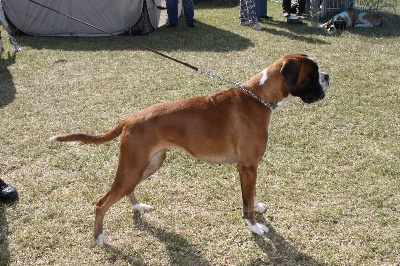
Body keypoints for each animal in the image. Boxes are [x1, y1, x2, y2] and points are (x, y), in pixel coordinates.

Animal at [50, 53, 330, 246]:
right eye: (313, 73)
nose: (328, 76)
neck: (259, 97)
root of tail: (129, 118)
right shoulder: (248, 167)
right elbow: (246, 204)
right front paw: (254, 227)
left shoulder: (249, 169)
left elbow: (250, 197)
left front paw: (257, 206)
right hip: (132, 167)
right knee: (101, 202)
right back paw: (99, 237)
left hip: (148, 164)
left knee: (128, 190)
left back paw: (138, 208)